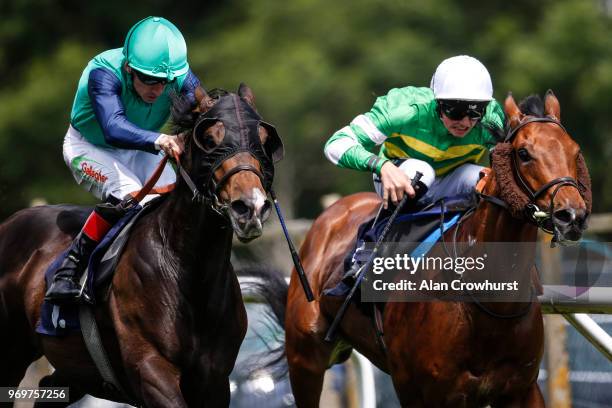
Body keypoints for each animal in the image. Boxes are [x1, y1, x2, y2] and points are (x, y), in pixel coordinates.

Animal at [0, 84, 282, 406]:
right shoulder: (150, 369)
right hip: (11, 354)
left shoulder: (215, 380)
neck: (188, 272)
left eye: (263, 141)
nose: (251, 207)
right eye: (210, 139)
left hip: (75, 371)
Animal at [260, 91, 592, 406]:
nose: (571, 216)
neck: (490, 304)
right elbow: (344, 138)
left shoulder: (522, 390)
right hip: (305, 359)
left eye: (576, 151)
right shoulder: (424, 393)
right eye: (524, 153)